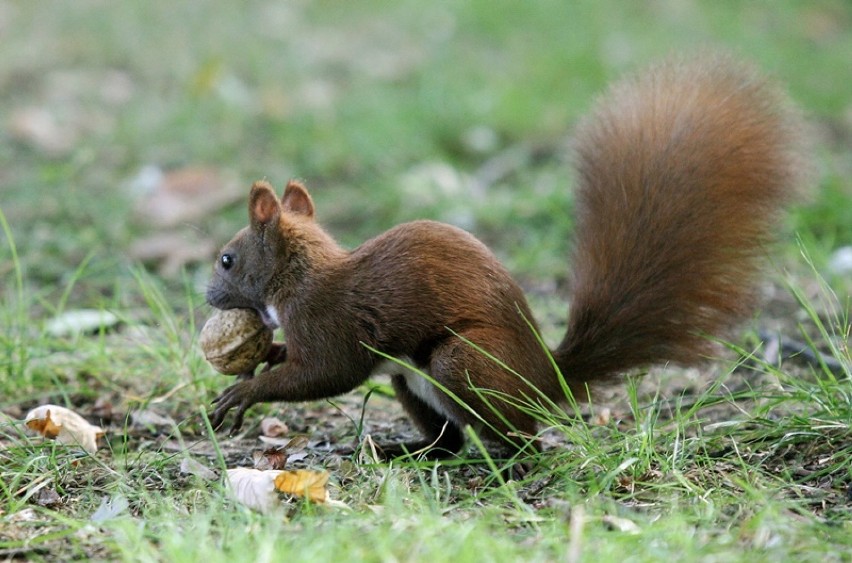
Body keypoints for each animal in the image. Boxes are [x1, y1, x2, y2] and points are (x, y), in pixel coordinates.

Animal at [210, 55, 808, 462]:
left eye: (227, 260)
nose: (210, 296)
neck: (298, 276)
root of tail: (546, 377)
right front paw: (268, 355)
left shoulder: (328, 319)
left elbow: (325, 375)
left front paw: (246, 390)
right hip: (412, 380)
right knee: (448, 439)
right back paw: (411, 452)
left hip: (462, 361)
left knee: (522, 436)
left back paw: (509, 457)